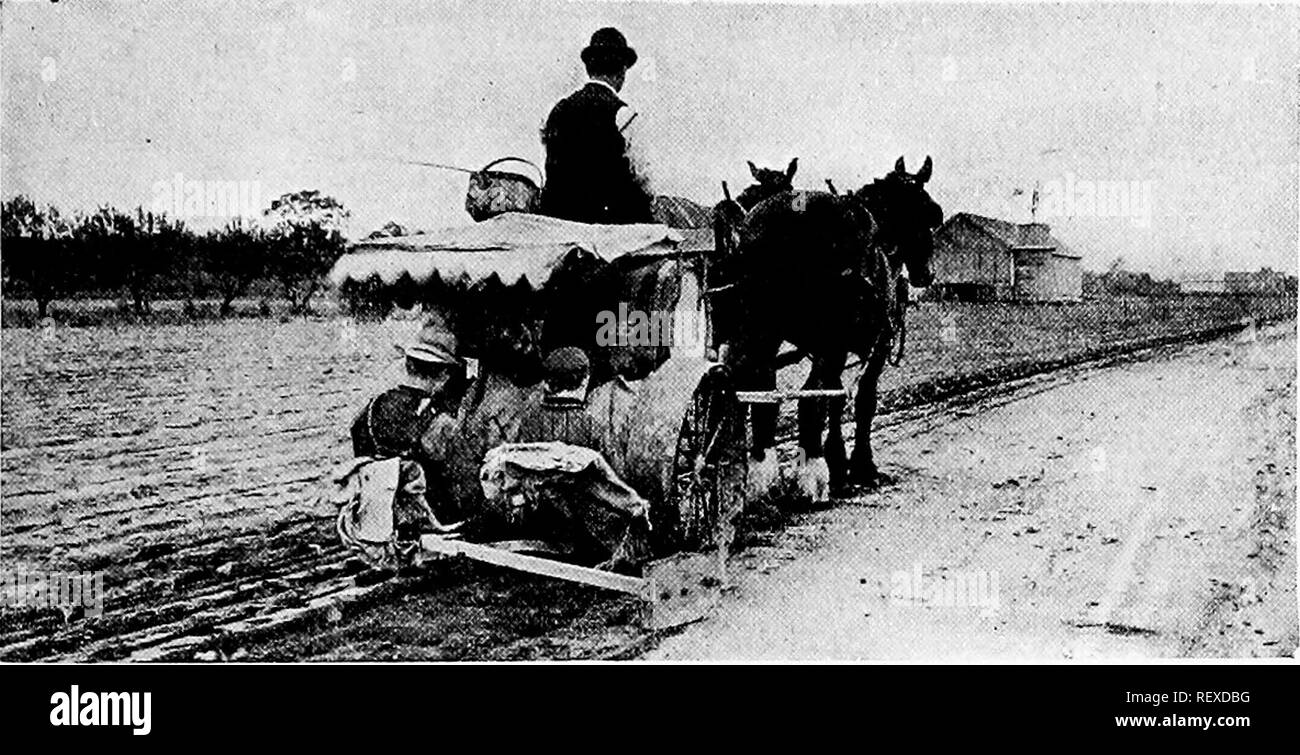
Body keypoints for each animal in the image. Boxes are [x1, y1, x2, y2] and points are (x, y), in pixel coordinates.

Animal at [717, 154, 941, 493]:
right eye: (927, 214)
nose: (926, 274)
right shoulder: (873, 345)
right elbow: (861, 400)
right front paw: (859, 465)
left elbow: (835, 400)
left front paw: (839, 463)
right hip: (823, 340)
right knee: (807, 398)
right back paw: (810, 475)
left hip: (759, 330)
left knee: (750, 389)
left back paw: (756, 469)